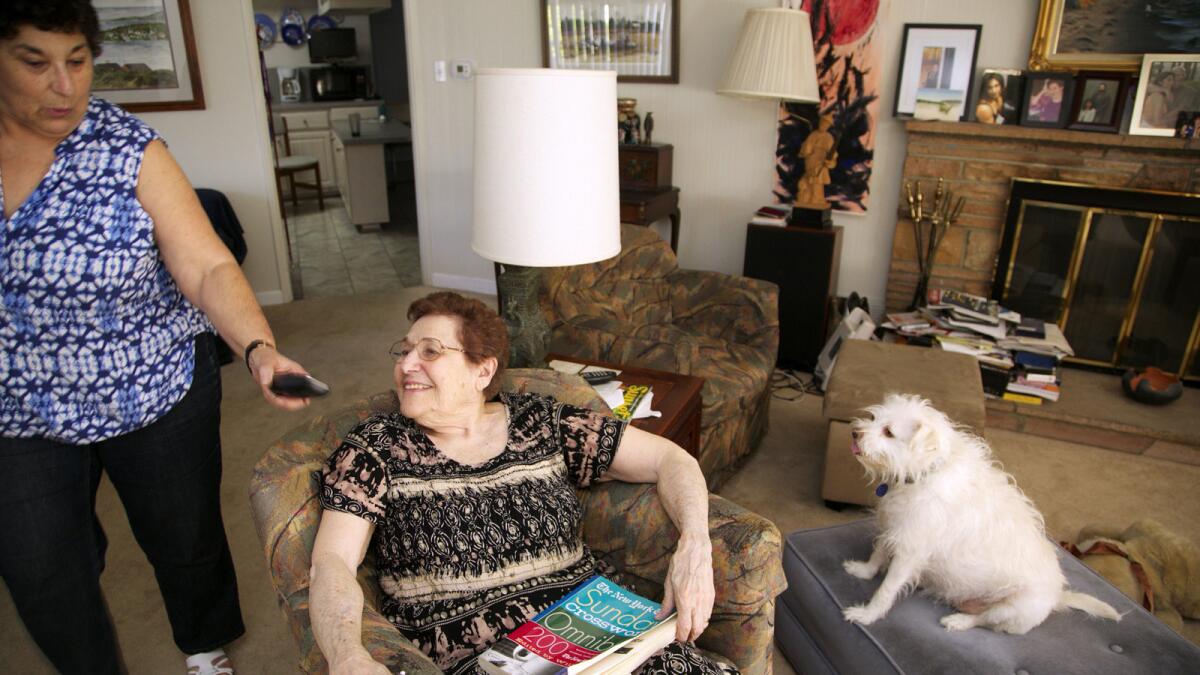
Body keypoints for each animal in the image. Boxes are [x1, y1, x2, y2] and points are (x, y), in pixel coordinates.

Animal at [840, 389, 1118, 629]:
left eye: (888, 432)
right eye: (873, 418)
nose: (854, 432)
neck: (926, 472)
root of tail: (1058, 597)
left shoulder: (910, 552)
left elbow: (886, 590)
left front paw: (867, 615)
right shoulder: (892, 527)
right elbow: (877, 552)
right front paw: (864, 571)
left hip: (1010, 609)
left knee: (983, 621)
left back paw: (958, 621)